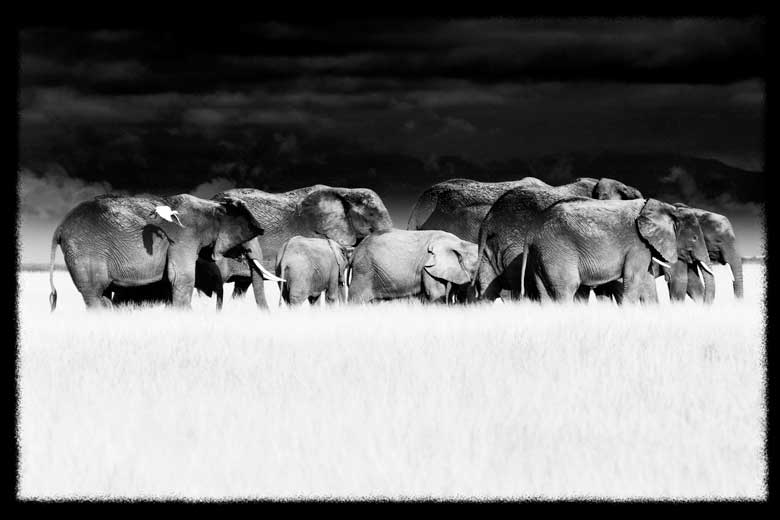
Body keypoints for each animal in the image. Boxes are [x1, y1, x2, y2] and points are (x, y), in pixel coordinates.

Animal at [48, 193, 265, 310]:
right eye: (248, 238)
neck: (211, 206)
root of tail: (59, 227)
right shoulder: (184, 238)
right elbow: (181, 278)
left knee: (102, 294)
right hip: (86, 251)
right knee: (94, 292)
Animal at [347, 229, 479, 304]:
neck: (460, 243)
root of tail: (355, 251)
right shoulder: (428, 265)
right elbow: (436, 294)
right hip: (364, 270)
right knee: (356, 299)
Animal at [520, 198, 713, 303]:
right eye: (694, 238)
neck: (665, 208)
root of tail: (531, 234)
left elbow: (647, 279)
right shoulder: (638, 245)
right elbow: (634, 278)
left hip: (541, 256)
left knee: (544, 293)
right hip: (557, 251)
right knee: (567, 288)